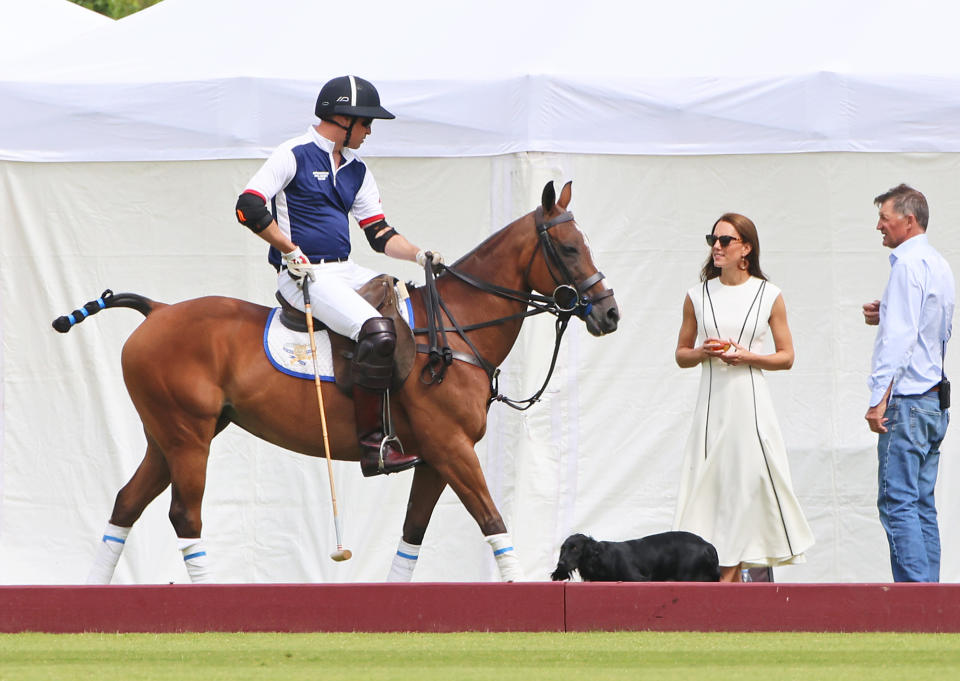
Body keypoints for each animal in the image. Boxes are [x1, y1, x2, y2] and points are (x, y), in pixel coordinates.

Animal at [56, 181, 620, 584]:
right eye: (570, 248)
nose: (609, 314)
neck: (455, 326)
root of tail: (158, 310)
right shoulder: (452, 446)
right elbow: (493, 520)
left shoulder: (434, 457)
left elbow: (413, 534)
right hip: (188, 434)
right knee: (184, 515)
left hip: (170, 435)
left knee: (126, 502)